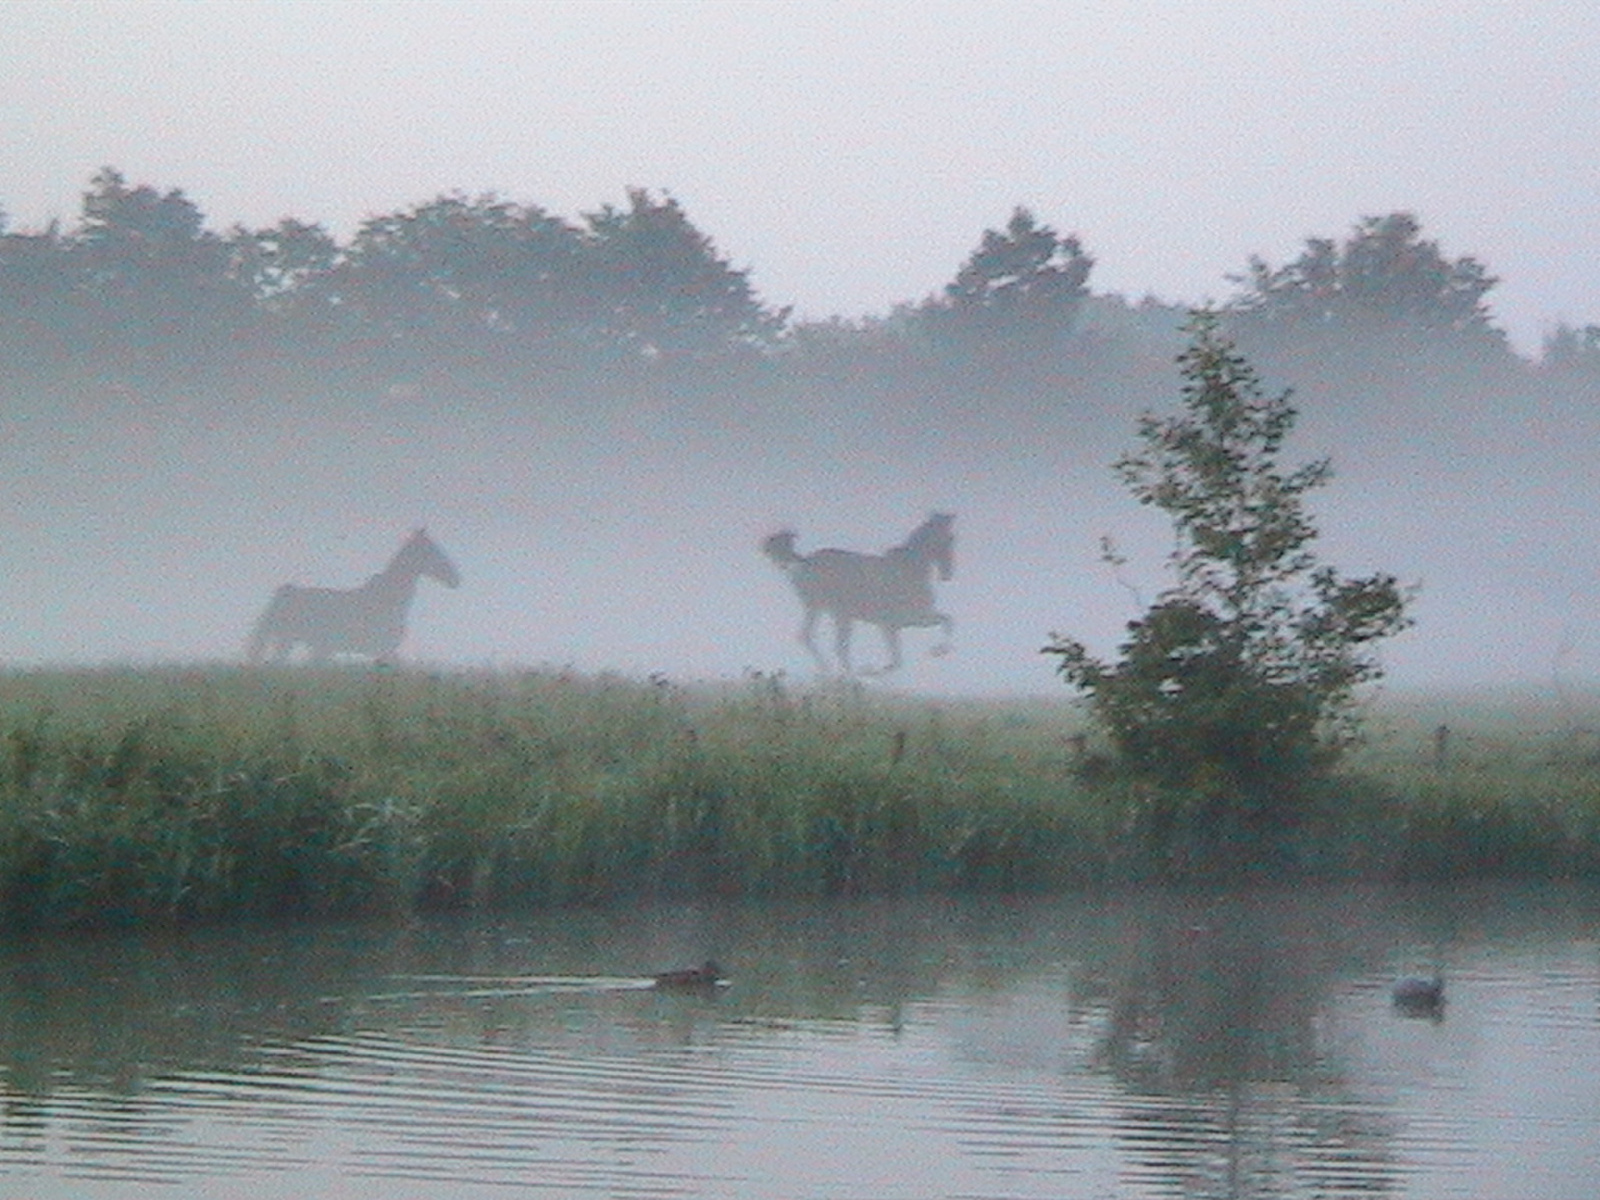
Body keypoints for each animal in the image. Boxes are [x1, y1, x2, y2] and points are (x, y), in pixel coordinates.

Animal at [243, 531, 460, 668]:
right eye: (432, 550)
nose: (455, 579)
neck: (389, 598)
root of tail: (284, 593)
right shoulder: (384, 650)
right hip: (287, 641)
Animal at [758, 515, 947, 678]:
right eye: (948, 538)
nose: (947, 573)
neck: (910, 569)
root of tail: (805, 562)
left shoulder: (900, 623)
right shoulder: (898, 622)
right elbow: (897, 660)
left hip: (825, 611)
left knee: (813, 638)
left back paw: (834, 673)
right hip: (835, 613)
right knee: (833, 644)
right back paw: (841, 674)